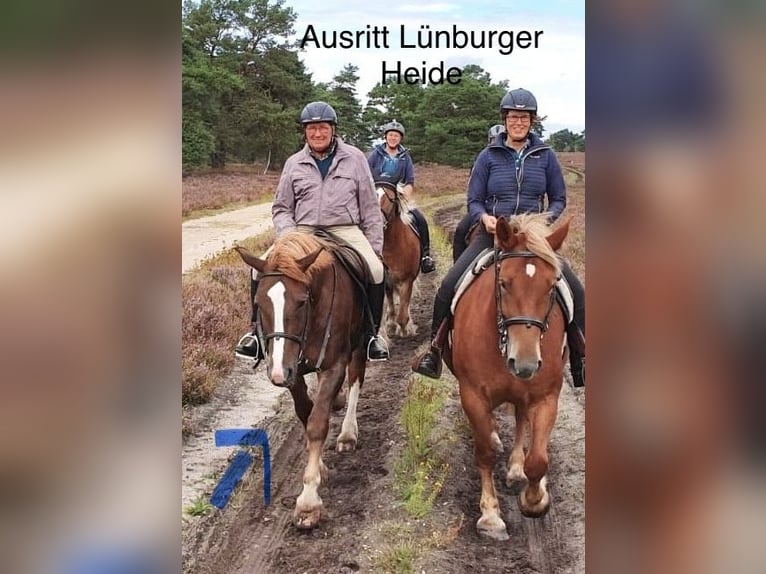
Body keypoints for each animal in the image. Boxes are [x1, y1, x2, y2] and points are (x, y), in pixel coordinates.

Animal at [234, 232, 368, 532]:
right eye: (258, 302)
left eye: (302, 302)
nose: (277, 373)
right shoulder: (290, 369)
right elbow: (306, 412)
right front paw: (320, 468)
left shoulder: (333, 365)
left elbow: (317, 424)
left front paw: (308, 501)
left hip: (359, 344)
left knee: (356, 378)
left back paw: (348, 433)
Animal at [376, 183, 420, 338]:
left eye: (390, 198)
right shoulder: (386, 280)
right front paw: (391, 326)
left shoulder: (407, 280)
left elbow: (402, 314)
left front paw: (405, 331)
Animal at [444, 214, 568, 544]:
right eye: (503, 283)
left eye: (551, 286)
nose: (525, 363)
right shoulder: (472, 394)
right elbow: (484, 452)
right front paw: (490, 516)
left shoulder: (545, 396)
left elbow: (538, 459)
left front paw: (535, 499)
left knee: (522, 420)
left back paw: (515, 469)